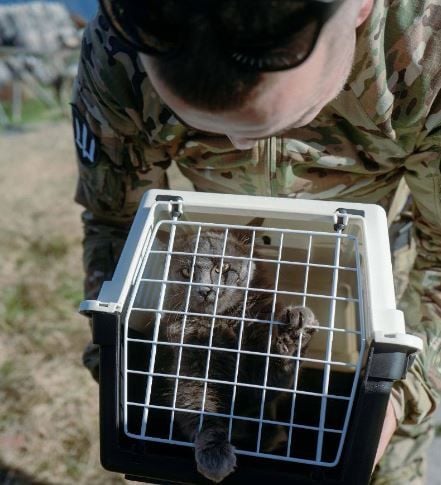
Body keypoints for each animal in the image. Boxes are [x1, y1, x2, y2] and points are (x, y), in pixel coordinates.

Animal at [151, 229, 316, 482]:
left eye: (222, 268)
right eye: (186, 272)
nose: (205, 290)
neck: (222, 323)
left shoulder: (258, 382)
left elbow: (272, 377)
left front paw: (294, 330)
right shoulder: (190, 370)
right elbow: (200, 409)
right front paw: (215, 457)